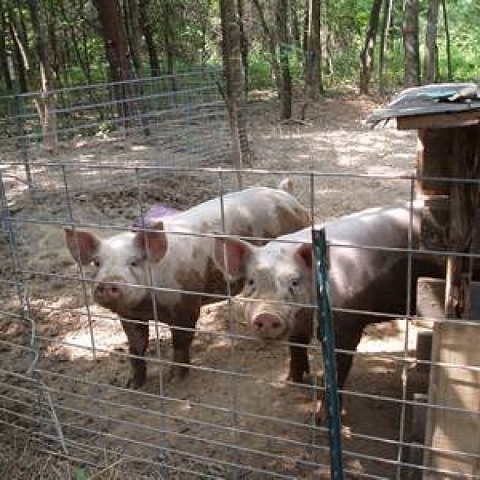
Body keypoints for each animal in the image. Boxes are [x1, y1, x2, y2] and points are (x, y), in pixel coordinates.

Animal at [65, 182, 310, 388]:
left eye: (134, 262)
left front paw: (175, 380)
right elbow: (136, 347)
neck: (150, 306)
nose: (108, 283)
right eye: (97, 263)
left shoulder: (187, 304)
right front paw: (132, 385)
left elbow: (181, 342)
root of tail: (285, 195)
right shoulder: (129, 314)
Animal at [214, 202, 442, 412]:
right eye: (251, 281)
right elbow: (296, 346)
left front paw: (322, 418)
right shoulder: (298, 324)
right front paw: (292, 381)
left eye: (294, 282)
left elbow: (336, 371)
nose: (267, 315)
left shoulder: (346, 325)